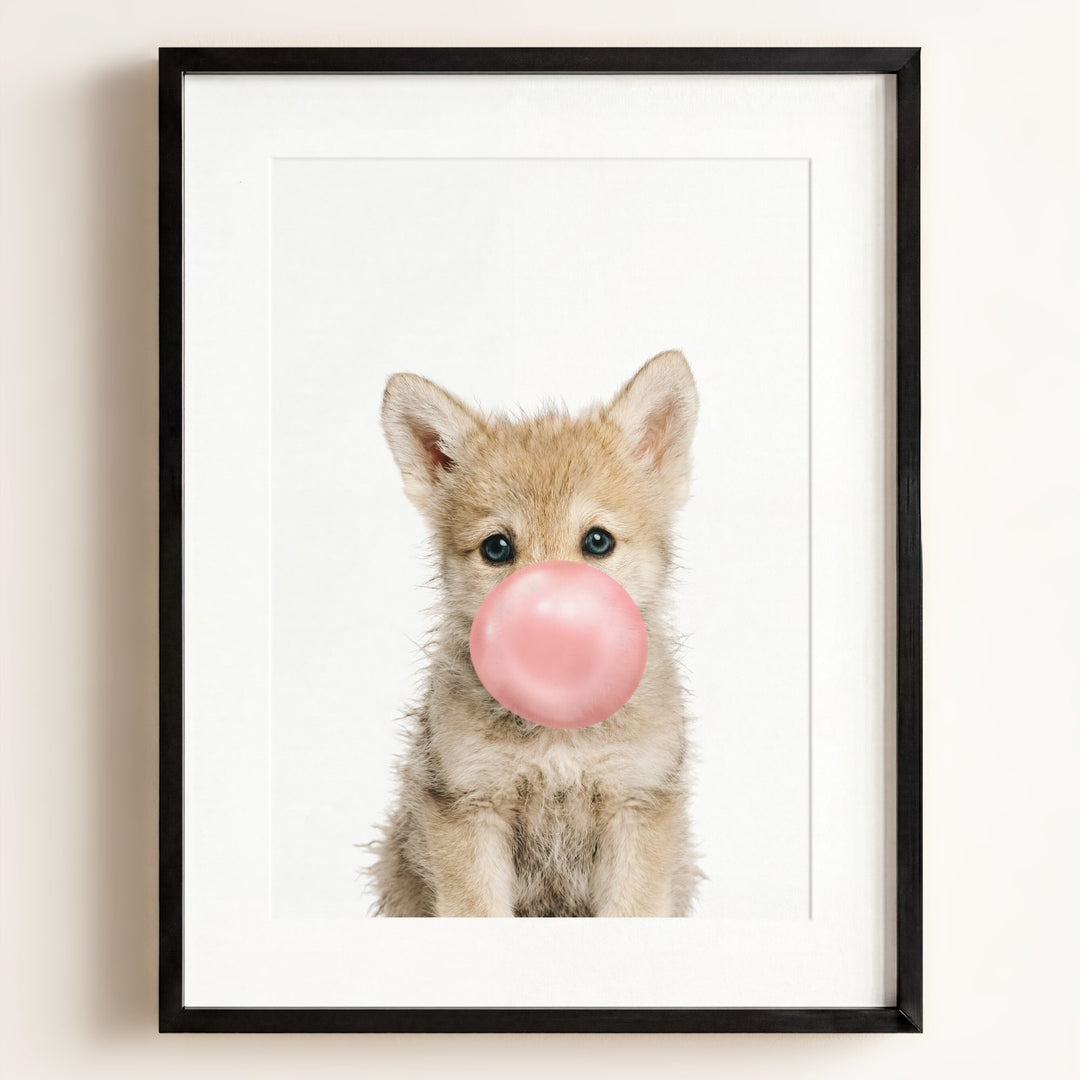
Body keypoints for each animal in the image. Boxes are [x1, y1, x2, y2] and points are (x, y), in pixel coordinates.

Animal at [370, 350, 700, 917]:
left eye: (597, 541)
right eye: (497, 548)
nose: (549, 625)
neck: (558, 734)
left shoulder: (637, 806)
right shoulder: (469, 808)